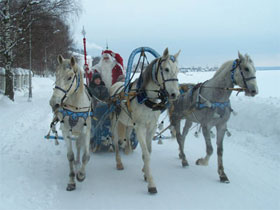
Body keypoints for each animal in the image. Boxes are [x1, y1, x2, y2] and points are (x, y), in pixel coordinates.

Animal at [48, 55, 91, 191]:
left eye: (69, 77)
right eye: (56, 74)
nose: (54, 103)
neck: (76, 107)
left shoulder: (86, 131)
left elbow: (86, 155)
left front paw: (81, 175)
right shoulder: (66, 130)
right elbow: (70, 156)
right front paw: (72, 180)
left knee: (79, 145)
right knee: (77, 146)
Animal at [109, 47, 179, 194]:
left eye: (178, 69)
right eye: (166, 69)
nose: (175, 94)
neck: (146, 97)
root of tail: (115, 85)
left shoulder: (151, 126)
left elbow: (149, 150)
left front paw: (145, 171)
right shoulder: (140, 127)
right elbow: (146, 154)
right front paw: (151, 182)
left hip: (129, 122)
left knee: (127, 134)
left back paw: (128, 148)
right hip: (114, 121)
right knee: (116, 141)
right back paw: (119, 162)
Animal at [168, 51, 258, 183]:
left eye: (255, 69)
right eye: (246, 68)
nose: (255, 91)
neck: (217, 97)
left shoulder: (221, 126)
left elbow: (220, 151)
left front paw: (222, 174)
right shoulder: (206, 125)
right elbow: (210, 149)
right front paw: (202, 161)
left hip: (189, 120)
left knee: (184, 135)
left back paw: (181, 153)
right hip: (176, 118)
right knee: (179, 137)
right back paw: (184, 159)